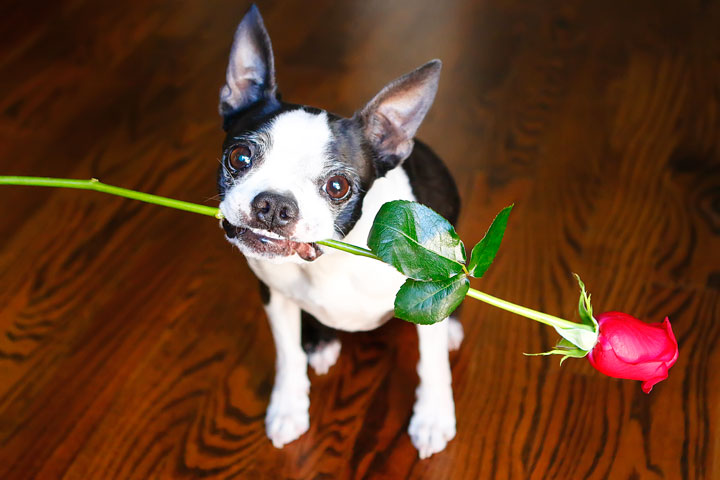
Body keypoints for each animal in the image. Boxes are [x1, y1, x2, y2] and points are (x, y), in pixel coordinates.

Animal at [217, 5, 462, 460]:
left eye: (337, 186)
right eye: (239, 157)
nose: (273, 205)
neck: (333, 261)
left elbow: (431, 362)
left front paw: (433, 417)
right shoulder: (274, 297)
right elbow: (288, 355)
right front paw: (288, 407)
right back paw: (321, 342)